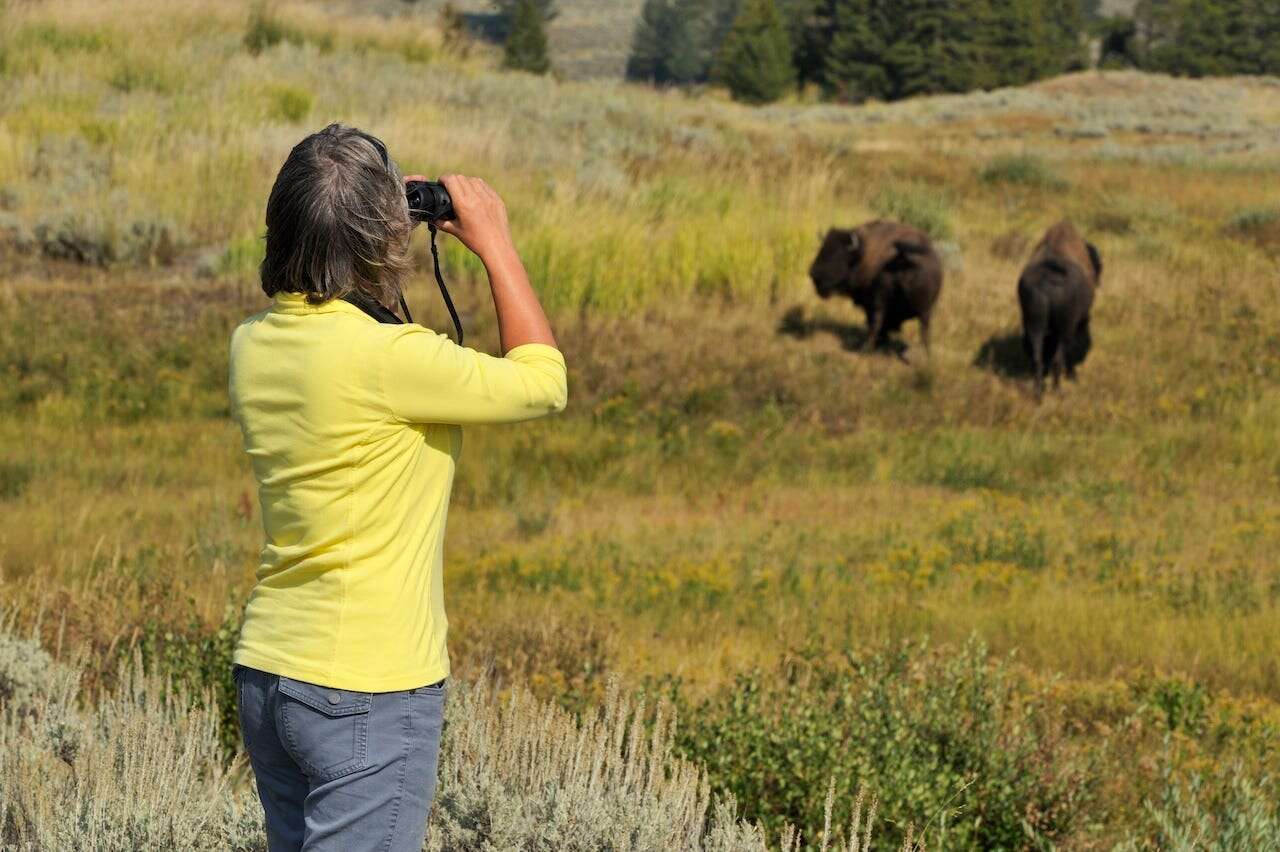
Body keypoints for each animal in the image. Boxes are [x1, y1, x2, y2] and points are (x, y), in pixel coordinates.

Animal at [808, 218, 942, 355]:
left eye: (838, 255)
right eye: (822, 249)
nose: (813, 273)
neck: (862, 253)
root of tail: (904, 257)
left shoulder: (870, 302)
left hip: (884, 303)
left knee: (878, 323)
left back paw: (866, 348)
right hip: (925, 310)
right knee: (924, 331)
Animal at [1018, 217, 1100, 394]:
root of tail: (1048, 279)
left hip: (1032, 323)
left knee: (1037, 356)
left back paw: (1038, 390)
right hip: (1065, 329)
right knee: (1059, 357)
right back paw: (1058, 389)